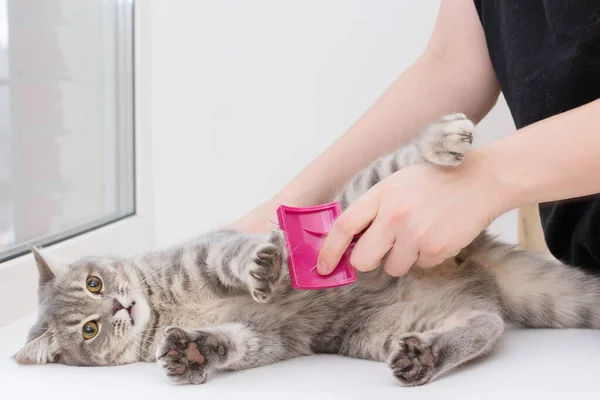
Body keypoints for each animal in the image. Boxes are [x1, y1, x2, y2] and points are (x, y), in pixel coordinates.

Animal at [12, 113, 600, 388]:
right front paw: (194, 354)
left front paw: (258, 265)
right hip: (389, 328)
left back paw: (442, 140)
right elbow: (235, 343)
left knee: (402, 164)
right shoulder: (269, 336)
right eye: (89, 329)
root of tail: (474, 255)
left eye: (94, 283)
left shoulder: (203, 254)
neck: (164, 308)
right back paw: (426, 356)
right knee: (486, 326)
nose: (119, 306)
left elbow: (230, 257)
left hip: (362, 197)